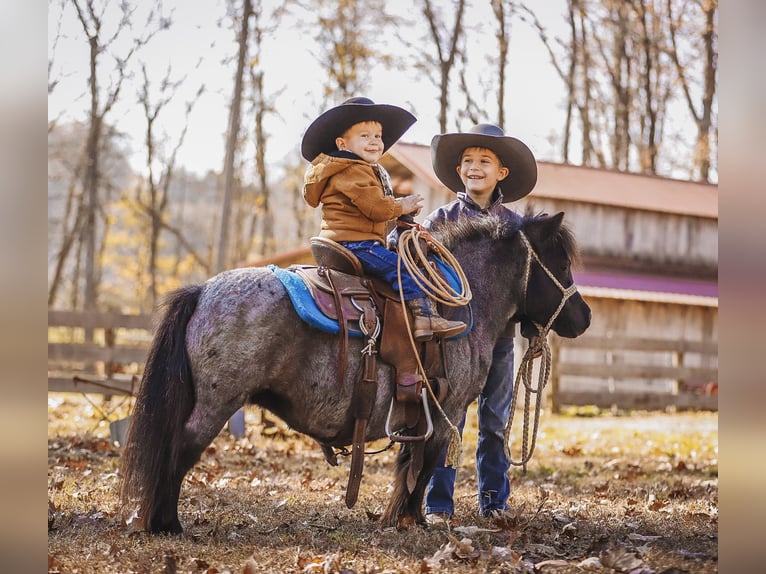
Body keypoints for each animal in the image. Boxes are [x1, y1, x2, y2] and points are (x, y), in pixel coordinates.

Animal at [120, 212, 592, 536]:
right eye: (561, 265)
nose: (584, 317)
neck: (462, 305)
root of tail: (202, 291)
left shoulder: (419, 415)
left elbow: (409, 466)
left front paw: (400, 518)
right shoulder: (446, 412)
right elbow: (424, 468)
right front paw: (413, 521)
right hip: (217, 403)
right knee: (180, 450)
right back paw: (167, 524)